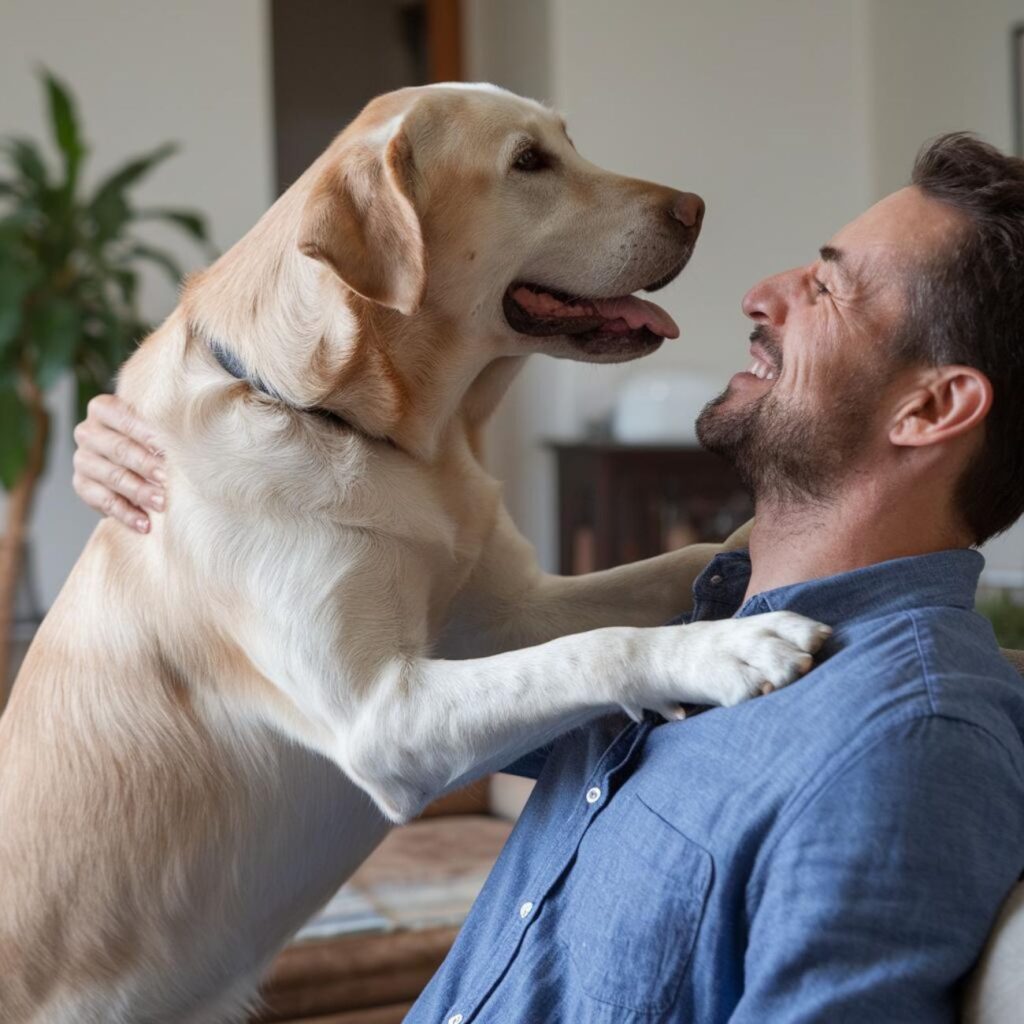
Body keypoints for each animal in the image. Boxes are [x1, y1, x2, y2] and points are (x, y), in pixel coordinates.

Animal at [0, 88, 827, 1024]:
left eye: (569, 141)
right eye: (529, 162)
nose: (694, 209)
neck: (362, 427)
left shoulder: (509, 610)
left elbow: (671, 562)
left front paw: (747, 543)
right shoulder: (382, 717)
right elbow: (593, 649)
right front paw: (730, 648)